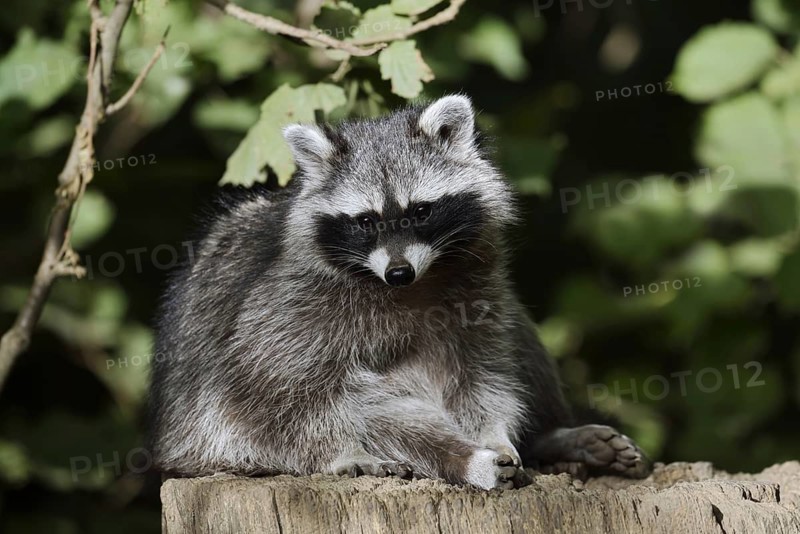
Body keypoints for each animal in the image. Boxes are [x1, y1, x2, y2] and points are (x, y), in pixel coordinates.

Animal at [147, 95, 651, 489]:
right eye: (366, 221)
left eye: (421, 211)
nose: (399, 272)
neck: (412, 289)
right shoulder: (282, 314)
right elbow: (273, 394)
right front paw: (345, 453)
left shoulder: (478, 293)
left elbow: (485, 374)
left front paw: (495, 434)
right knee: (366, 408)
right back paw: (464, 461)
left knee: (521, 339)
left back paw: (550, 434)